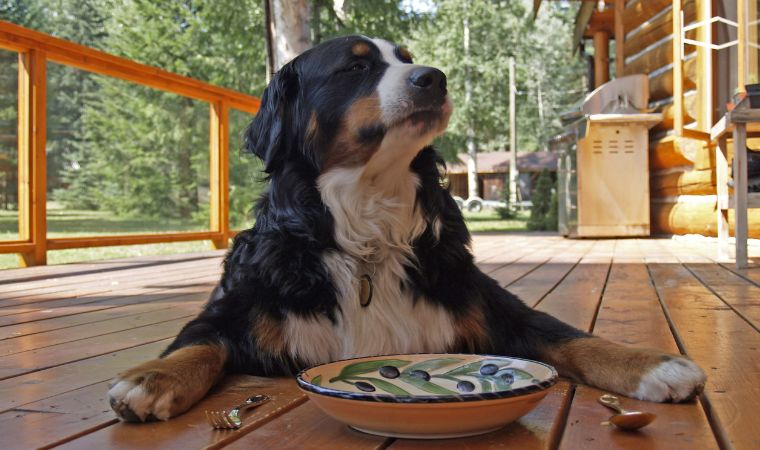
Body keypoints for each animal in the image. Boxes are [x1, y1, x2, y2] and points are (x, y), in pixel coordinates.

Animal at [107, 35, 708, 422]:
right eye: (355, 68)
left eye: (408, 60)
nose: (434, 78)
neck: (367, 231)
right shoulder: (236, 307)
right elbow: (198, 345)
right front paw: (150, 378)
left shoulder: (488, 303)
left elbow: (570, 337)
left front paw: (651, 365)